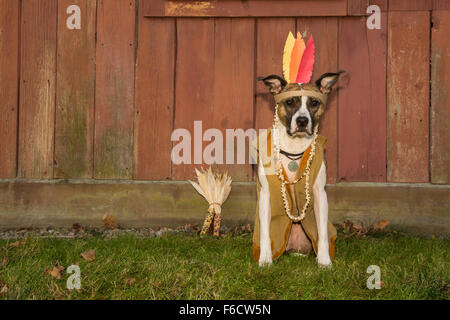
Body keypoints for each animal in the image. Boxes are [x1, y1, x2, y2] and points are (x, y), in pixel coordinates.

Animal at [253, 70, 342, 268]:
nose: (302, 121)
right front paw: (265, 258)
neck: (294, 147)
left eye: (314, 103)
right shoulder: (266, 194)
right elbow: (265, 232)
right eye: (289, 102)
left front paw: (324, 260)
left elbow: (322, 233)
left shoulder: (319, 194)